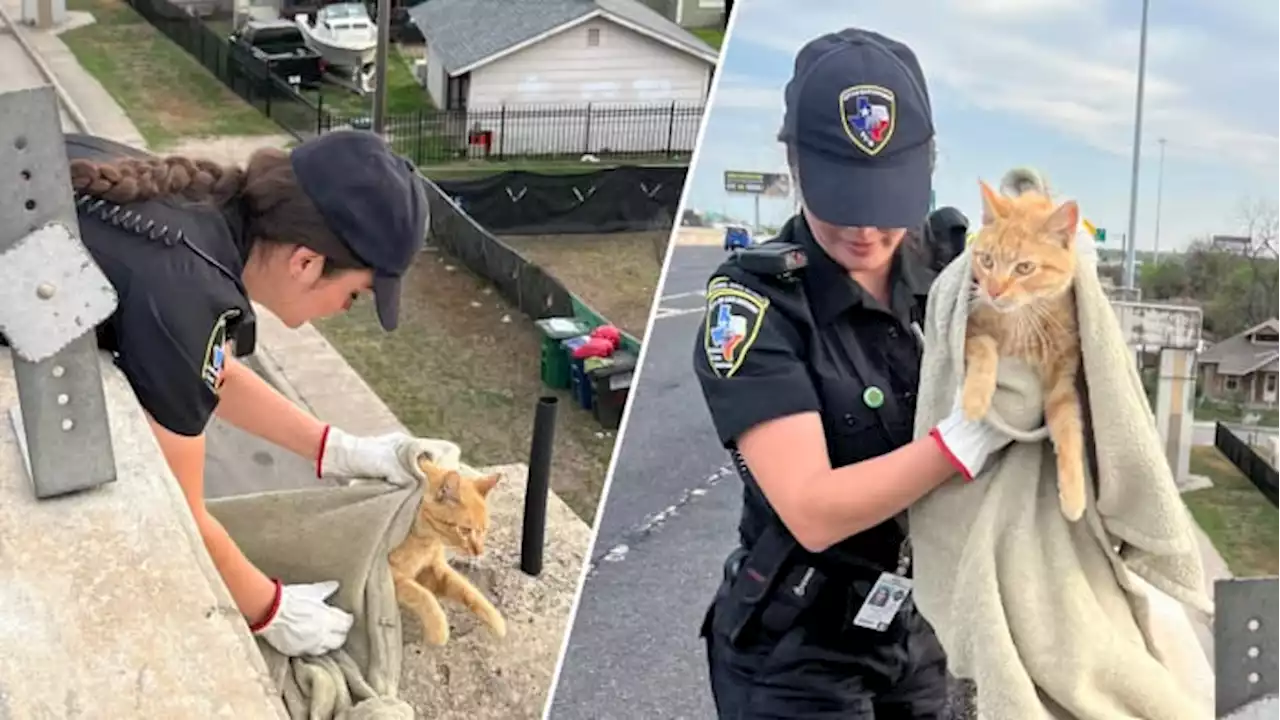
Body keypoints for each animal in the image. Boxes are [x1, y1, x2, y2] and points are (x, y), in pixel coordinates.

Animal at [386, 456, 506, 640]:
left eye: (484, 530)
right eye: (465, 530)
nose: (479, 551)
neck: (425, 541)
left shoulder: (434, 568)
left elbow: (466, 588)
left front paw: (495, 619)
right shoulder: (390, 575)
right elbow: (421, 594)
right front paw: (438, 630)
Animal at [962, 167, 1085, 515]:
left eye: (1025, 267)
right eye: (987, 261)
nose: (993, 290)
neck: (1021, 321)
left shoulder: (1062, 376)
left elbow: (1069, 426)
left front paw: (1074, 493)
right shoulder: (972, 329)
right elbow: (985, 347)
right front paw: (974, 398)